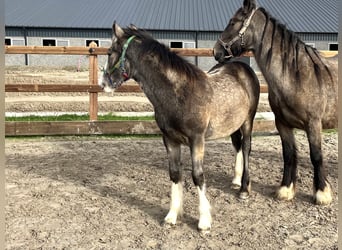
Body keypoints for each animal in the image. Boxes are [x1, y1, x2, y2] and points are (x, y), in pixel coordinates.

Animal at [100, 23, 260, 232]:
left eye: (110, 52)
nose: (103, 83)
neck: (180, 94)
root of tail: (243, 68)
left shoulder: (197, 140)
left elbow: (198, 176)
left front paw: (204, 221)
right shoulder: (170, 139)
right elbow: (175, 173)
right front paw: (172, 215)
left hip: (248, 121)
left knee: (246, 148)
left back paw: (244, 189)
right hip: (234, 124)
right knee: (238, 147)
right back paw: (235, 180)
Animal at [212, 0, 338, 205]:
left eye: (233, 22)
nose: (216, 51)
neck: (296, 75)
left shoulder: (313, 124)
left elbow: (316, 156)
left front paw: (322, 193)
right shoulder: (283, 124)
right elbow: (288, 154)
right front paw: (286, 190)